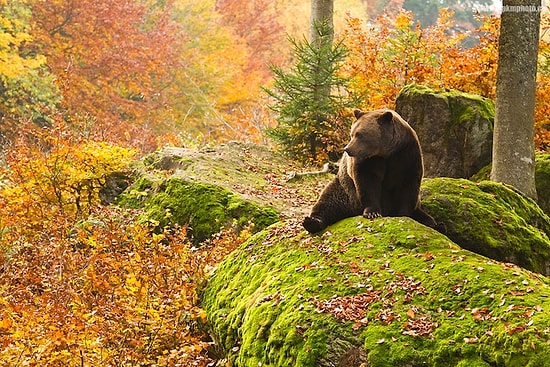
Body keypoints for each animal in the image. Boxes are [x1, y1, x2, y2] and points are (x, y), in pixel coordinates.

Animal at [304, 108, 438, 234]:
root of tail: (352, 211)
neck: (385, 152)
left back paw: (429, 221)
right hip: (344, 189)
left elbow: (408, 183)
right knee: (327, 202)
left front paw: (403, 213)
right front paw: (372, 212)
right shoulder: (367, 160)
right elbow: (367, 182)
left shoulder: (406, 153)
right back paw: (311, 221)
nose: (347, 149)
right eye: (352, 133)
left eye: (359, 134)